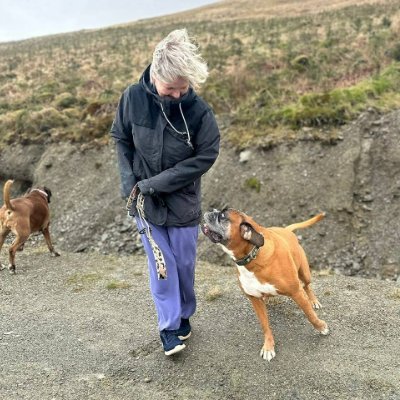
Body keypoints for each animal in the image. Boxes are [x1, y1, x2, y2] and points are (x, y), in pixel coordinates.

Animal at [202, 209, 330, 362]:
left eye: (222, 216)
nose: (210, 210)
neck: (253, 256)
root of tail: (286, 230)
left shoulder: (296, 292)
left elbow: (310, 314)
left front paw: (321, 326)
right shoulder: (254, 299)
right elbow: (265, 325)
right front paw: (268, 347)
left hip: (304, 273)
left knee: (307, 286)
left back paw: (314, 301)